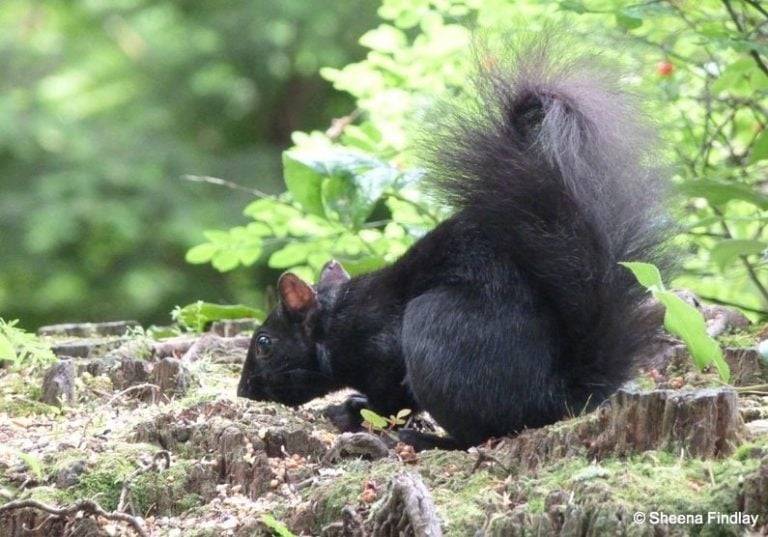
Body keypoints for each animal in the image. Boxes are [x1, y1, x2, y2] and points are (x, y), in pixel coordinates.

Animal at [236, 35, 672, 450]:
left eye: (264, 343)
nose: (243, 392)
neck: (336, 323)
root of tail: (557, 396)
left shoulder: (382, 352)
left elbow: (390, 400)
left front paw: (350, 412)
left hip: (435, 328)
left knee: (477, 435)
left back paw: (429, 440)